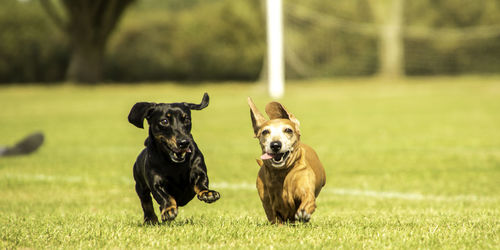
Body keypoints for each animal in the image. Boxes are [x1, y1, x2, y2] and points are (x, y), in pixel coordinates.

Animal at [130, 93, 220, 224]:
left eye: (186, 119)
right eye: (164, 121)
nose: (184, 142)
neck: (174, 164)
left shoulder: (198, 169)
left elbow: (201, 181)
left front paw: (207, 193)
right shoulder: (156, 182)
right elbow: (165, 196)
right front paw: (168, 210)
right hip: (140, 186)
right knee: (146, 202)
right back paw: (150, 219)